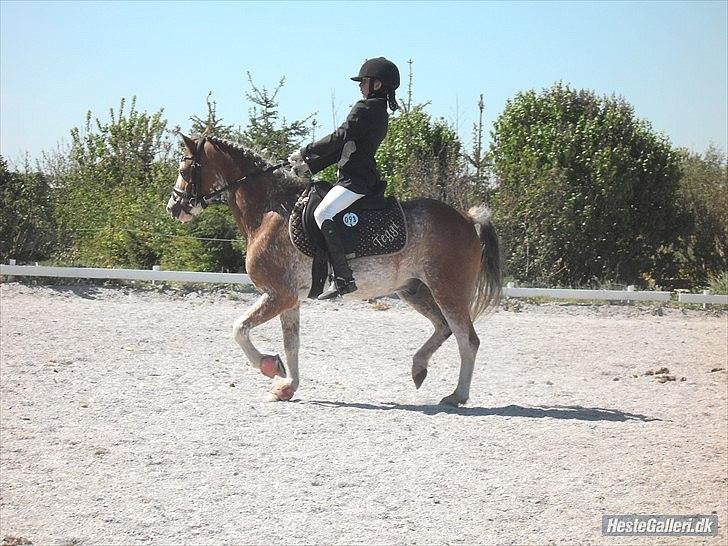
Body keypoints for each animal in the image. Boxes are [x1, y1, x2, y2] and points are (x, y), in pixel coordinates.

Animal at [167, 134, 502, 406]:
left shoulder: (278, 294)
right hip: (413, 290)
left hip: (448, 289)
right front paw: (287, 386)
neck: (270, 211)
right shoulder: (288, 298)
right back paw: (419, 368)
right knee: (444, 328)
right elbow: (291, 343)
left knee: (467, 339)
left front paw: (268, 365)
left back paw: (457, 395)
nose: (173, 208)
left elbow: (239, 328)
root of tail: (467, 218)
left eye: (184, 171)